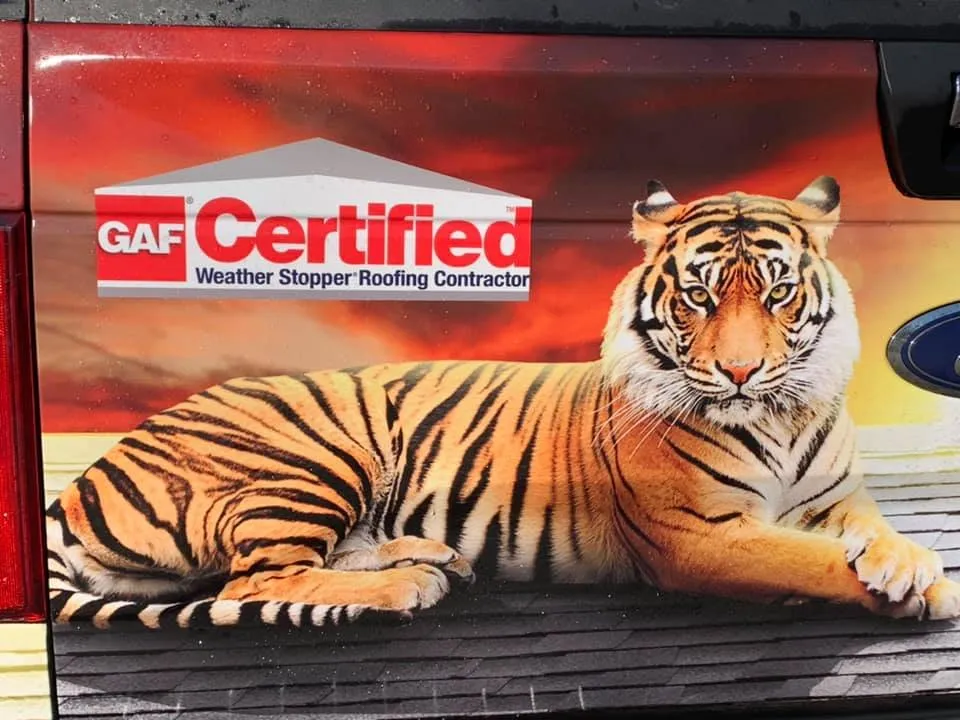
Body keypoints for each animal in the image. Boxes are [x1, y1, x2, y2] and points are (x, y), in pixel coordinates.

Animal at [46, 175, 960, 631]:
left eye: (776, 293)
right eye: (699, 297)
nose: (739, 373)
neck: (779, 412)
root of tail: (92, 472)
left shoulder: (837, 496)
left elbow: (869, 531)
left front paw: (905, 560)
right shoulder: (698, 535)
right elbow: (807, 560)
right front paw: (930, 588)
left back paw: (425, 558)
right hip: (311, 455)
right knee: (254, 579)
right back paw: (408, 587)